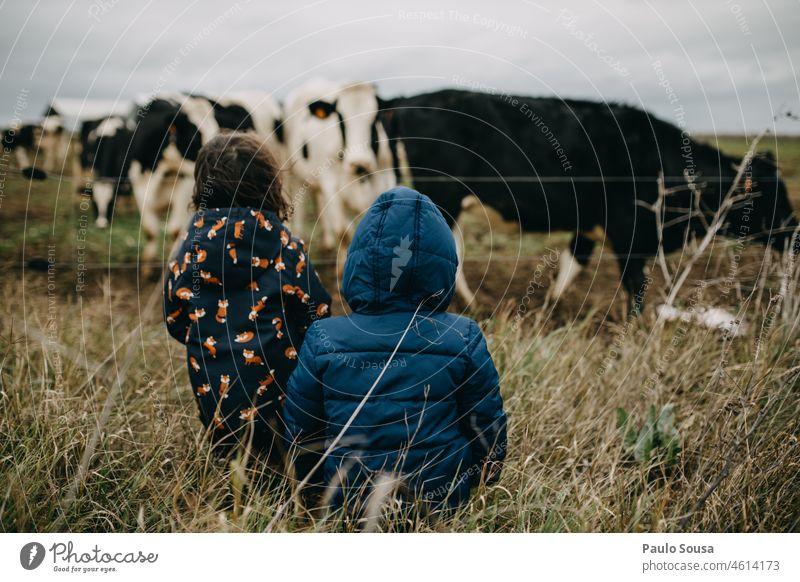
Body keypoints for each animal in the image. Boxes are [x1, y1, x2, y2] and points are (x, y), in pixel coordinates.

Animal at [284, 79, 394, 251]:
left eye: (376, 117)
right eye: (340, 119)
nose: (359, 162)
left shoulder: (385, 180)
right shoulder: (331, 187)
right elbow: (343, 233)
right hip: (295, 175)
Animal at [378, 88, 796, 310]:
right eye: (769, 198)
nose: (795, 232)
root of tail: (408, 99)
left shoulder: (590, 227)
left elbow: (571, 266)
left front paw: (549, 310)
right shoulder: (630, 233)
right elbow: (634, 284)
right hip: (441, 196)